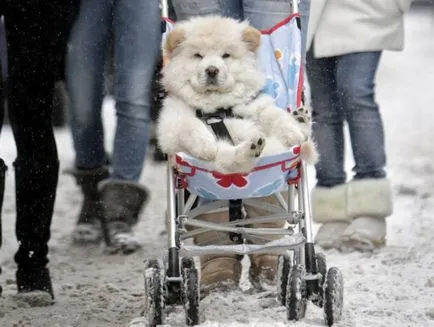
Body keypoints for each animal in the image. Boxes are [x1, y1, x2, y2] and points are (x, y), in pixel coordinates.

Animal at [156, 17, 316, 174]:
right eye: (198, 56)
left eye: (226, 55)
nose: (212, 70)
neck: (216, 108)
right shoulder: (171, 125)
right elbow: (189, 124)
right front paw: (206, 146)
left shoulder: (254, 106)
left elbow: (276, 115)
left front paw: (293, 132)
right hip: (218, 161)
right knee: (231, 161)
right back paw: (251, 147)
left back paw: (300, 119)